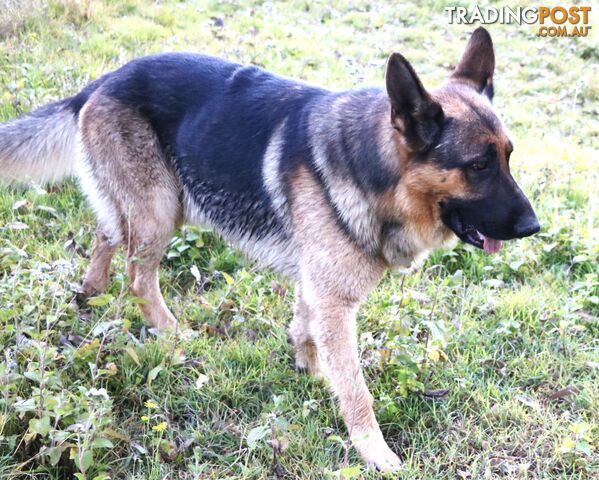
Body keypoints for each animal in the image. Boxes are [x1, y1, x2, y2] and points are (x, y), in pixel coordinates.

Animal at [0, 28, 540, 470]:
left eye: (509, 156)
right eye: (478, 166)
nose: (533, 226)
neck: (376, 172)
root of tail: (104, 81)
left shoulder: (319, 285)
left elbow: (305, 327)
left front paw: (309, 370)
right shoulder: (335, 299)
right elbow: (355, 387)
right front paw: (373, 449)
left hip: (158, 206)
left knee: (106, 233)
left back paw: (90, 291)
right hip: (158, 211)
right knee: (137, 277)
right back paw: (173, 337)